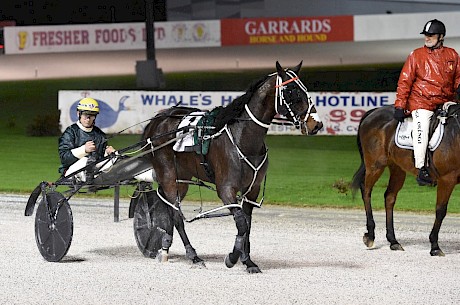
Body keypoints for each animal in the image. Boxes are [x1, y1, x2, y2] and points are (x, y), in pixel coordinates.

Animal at [140, 61, 324, 270]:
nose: (316, 125)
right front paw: (233, 257)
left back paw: (165, 248)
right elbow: (241, 223)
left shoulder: (252, 190)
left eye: (305, 90)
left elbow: (247, 224)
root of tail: (159, 119)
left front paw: (248, 261)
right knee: (177, 215)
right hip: (169, 176)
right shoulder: (226, 189)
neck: (243, 137)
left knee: (170, 209)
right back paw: (193, 255)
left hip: (182, 179)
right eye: (292, 92)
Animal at [350, 105, 458, 256]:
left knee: (389, 197)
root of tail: (374, 111)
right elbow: (440, 211)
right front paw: (435, 246)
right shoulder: (447, 179)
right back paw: (370, 236)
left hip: (397, 168)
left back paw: (393, 241)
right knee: (366, 191)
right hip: (375, 165)